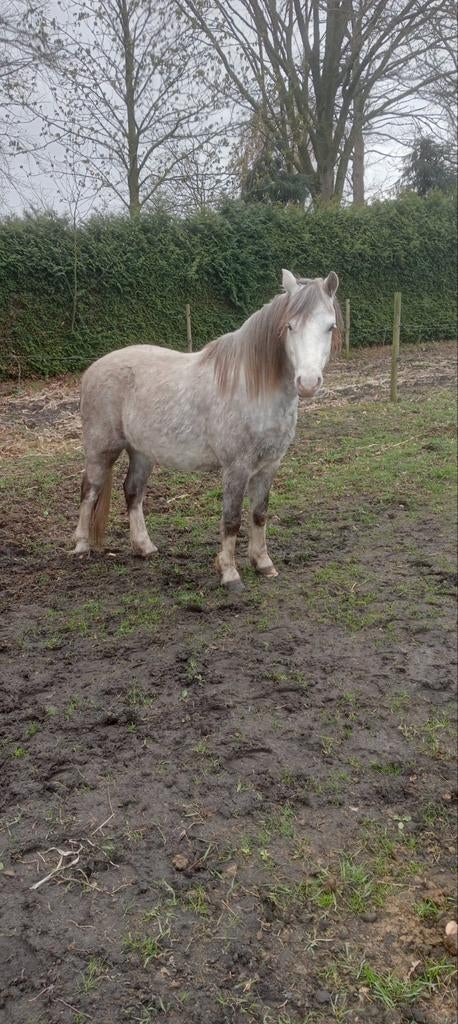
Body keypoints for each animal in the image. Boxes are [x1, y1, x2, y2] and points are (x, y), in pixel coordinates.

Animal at [73, 269, 342, 591]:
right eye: (290, 326)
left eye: (330, 326)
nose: (308, 383)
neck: (253, 387)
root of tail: (94, 369)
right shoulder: (237, 467)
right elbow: (232, 519)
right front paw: (230, 574)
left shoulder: (269, 466)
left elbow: (259, 514)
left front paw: (263, 563)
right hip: (101, 449)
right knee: (89, 490)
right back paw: (80, 547)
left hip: (141, 452)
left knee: (132, 491)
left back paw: (144, 547)